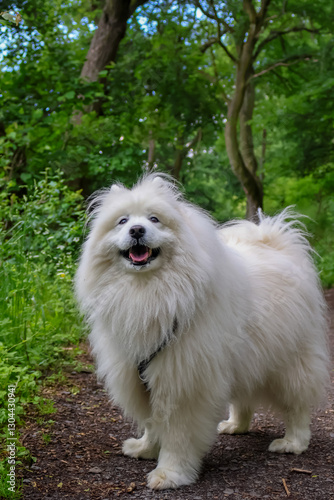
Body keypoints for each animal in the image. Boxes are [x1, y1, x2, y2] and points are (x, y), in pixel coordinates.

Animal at [75, 173, 328, 488]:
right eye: (122, 221)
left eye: (154, 219)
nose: (136, 229)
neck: (148, 291)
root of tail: (277, 244)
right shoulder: (143, 377)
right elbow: (152, 424)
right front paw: (145, 449)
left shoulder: (183, 384)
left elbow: (177, 435)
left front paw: (170, 473)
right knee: (243, 399)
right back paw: (235, 425)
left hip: (289, 363)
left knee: (297, 405)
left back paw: (293, 443)